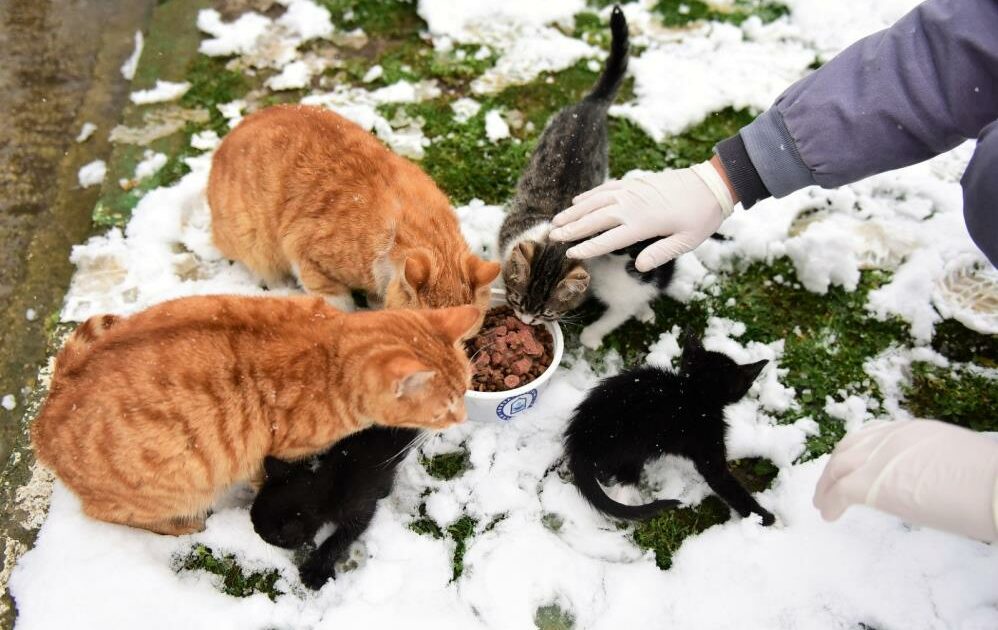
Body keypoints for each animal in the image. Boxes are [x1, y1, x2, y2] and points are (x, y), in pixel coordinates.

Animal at [33, 298, 478, 540]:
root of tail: (44, 416)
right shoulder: (276, 449)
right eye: (443, 409)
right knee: (108, 514)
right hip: (173, 489)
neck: (329, 348)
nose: (463, 418)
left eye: (469, 386)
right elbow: (269, 477)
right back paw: (181, 526)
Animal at [254, 428, 422, 592]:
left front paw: (315, 571)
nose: (255, 531)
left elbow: (337, 540)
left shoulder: (360, 510)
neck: (329, 486)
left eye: (268, 536)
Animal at [568, 334, 776, 524]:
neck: (696, 393)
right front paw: (764, 518)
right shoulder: (707, 444)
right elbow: (726, 484)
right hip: (633, 447)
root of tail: (578, 442)